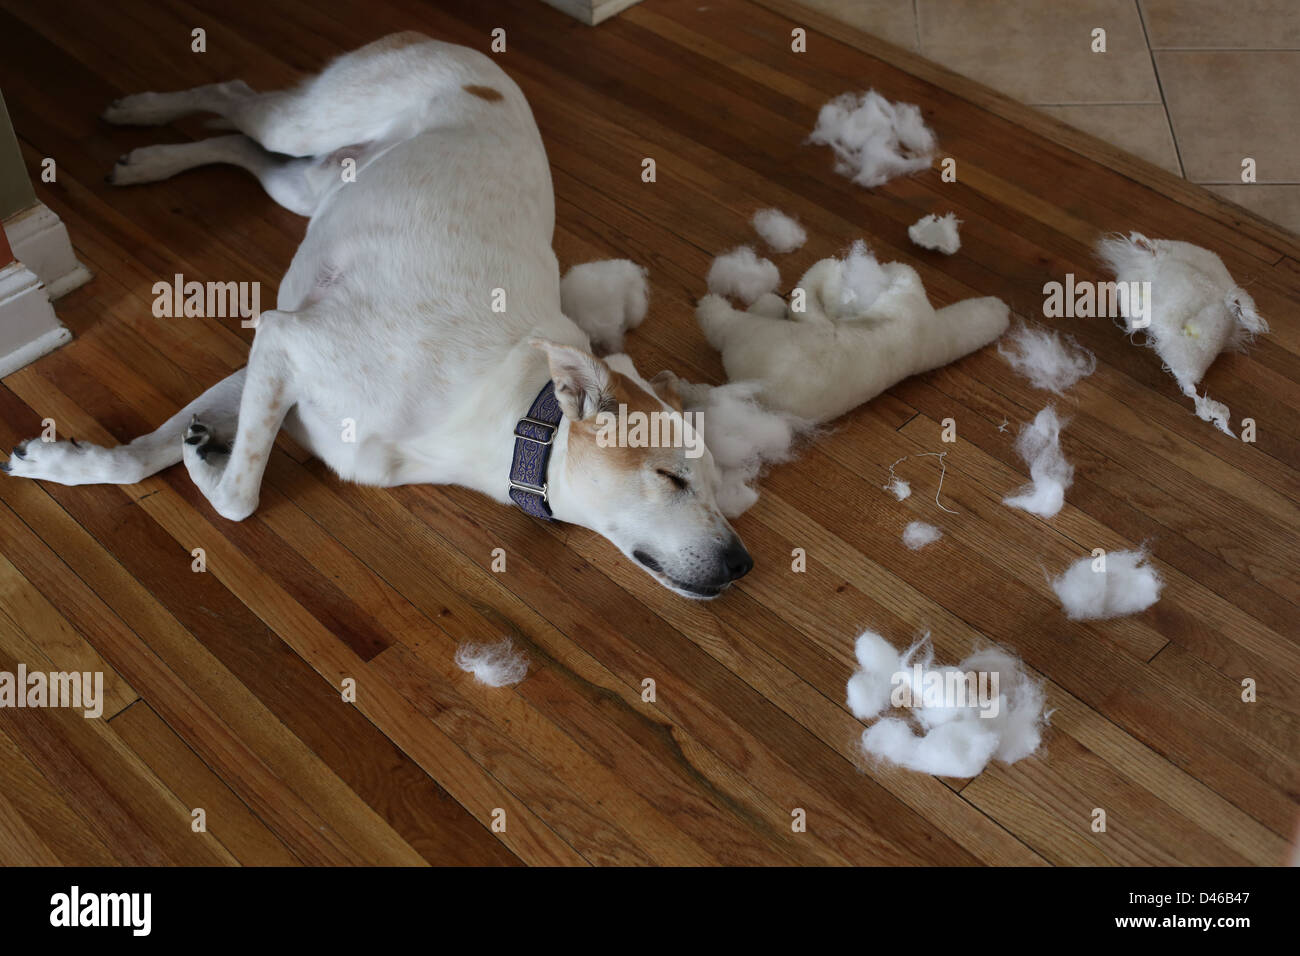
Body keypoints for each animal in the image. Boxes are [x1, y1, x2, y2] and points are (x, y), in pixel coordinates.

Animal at [5, 35, 754, 598]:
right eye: (671, 478)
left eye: (718, 486)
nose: (743, 563)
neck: (511, 412)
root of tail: (461, 47)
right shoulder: (286, 340)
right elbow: (237, 495)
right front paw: (191, 462)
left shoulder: (274, 360)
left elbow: (155, 455)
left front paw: (70, 461)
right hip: (308, 122)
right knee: (234, 95)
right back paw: (141, 113)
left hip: (308, 184)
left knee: (243, 146)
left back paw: (153, 160)